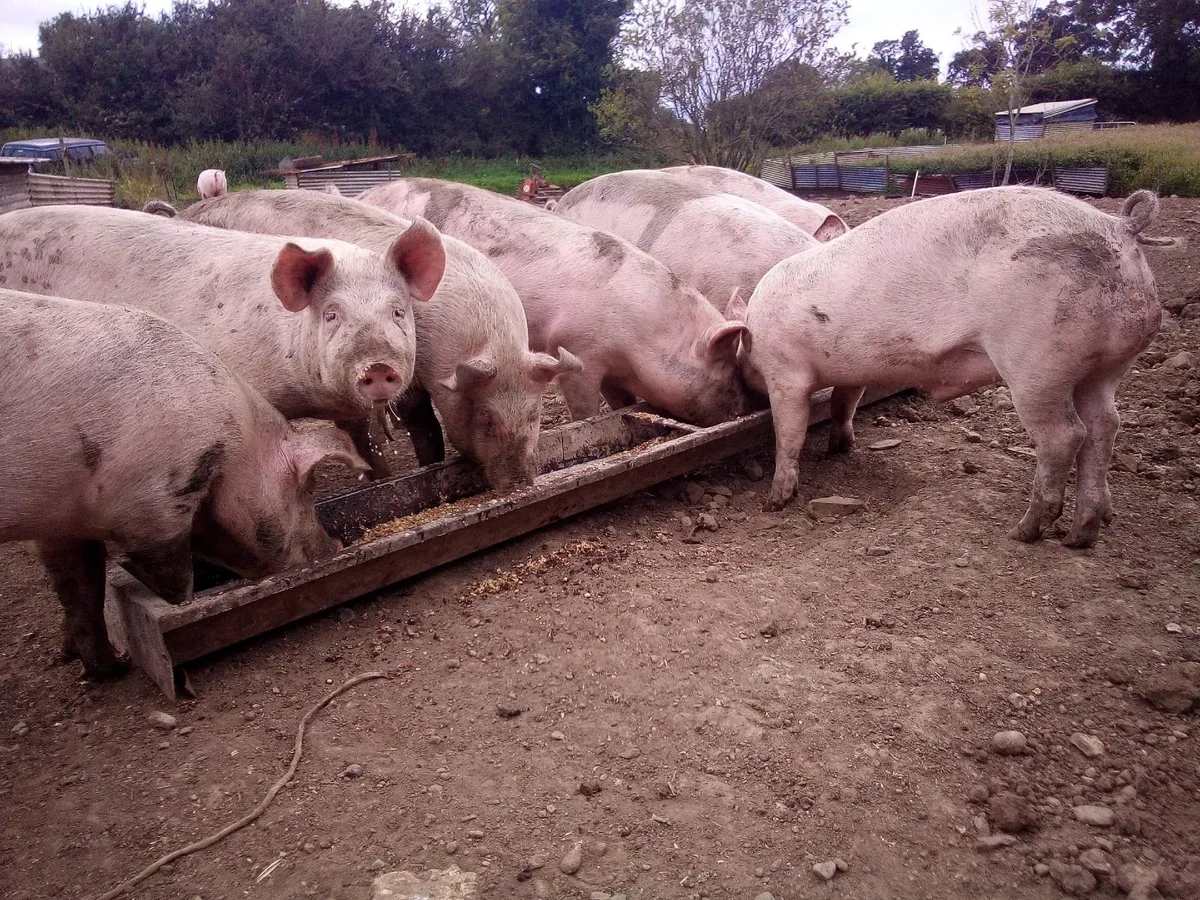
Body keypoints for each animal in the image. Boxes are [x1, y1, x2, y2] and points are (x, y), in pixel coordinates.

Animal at [0, 205, 446, 476]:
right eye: (333, 314)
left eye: (398, 311)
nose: (379, 366)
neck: (309, 395)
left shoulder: (346, 408)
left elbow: (367, 447)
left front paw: (380, 477)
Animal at [0, 290, 369, 678]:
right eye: (307, 491)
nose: (336, 545)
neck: (237, 446)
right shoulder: (153, 503)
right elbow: (174, 576)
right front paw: (173, 605)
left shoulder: (61, 526)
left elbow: (80, 586)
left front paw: (107, 668)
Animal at [176, 189, 580, 490]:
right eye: (486, 417)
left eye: (535, 414)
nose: (521, 482)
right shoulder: (413, 375)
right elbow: (426, 427)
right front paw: (429, 465)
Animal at [359, 178, 749, 425]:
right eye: (725, 369)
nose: (740, 410)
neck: (643, 337)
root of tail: (364, 194)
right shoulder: (579, 348)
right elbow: (585, 405)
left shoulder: (614, 366)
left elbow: (622, 403)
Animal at [736, 187, 1161, 548]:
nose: (743, 380)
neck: (756, 326)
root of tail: (1120, 227)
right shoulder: (852, 372)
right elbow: (844, 404)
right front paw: (837, 451)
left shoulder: (786, 374)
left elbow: (789, 433)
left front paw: (773, 502)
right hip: (1107, 365)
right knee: (1104, 425)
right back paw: (1083, 534)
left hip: (1037, 364)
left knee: (1066, 435)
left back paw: (1024, 532)